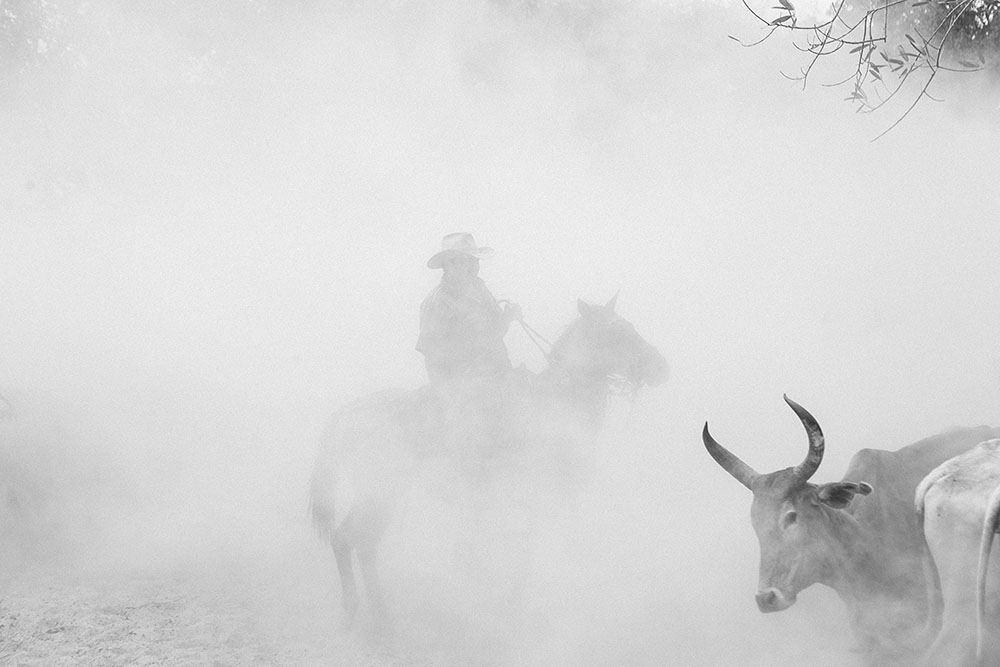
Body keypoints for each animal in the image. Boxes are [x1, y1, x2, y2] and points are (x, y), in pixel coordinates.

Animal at [309, 295, 668, 630]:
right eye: (616, 333)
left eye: (630, 326)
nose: (661, 367)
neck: (554, 401)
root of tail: (346, 414)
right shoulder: (539, 498)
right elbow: (531, 555)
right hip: (379, 494)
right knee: (348, 540)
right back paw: (361, 610)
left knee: (363, 545)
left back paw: (381, 614)